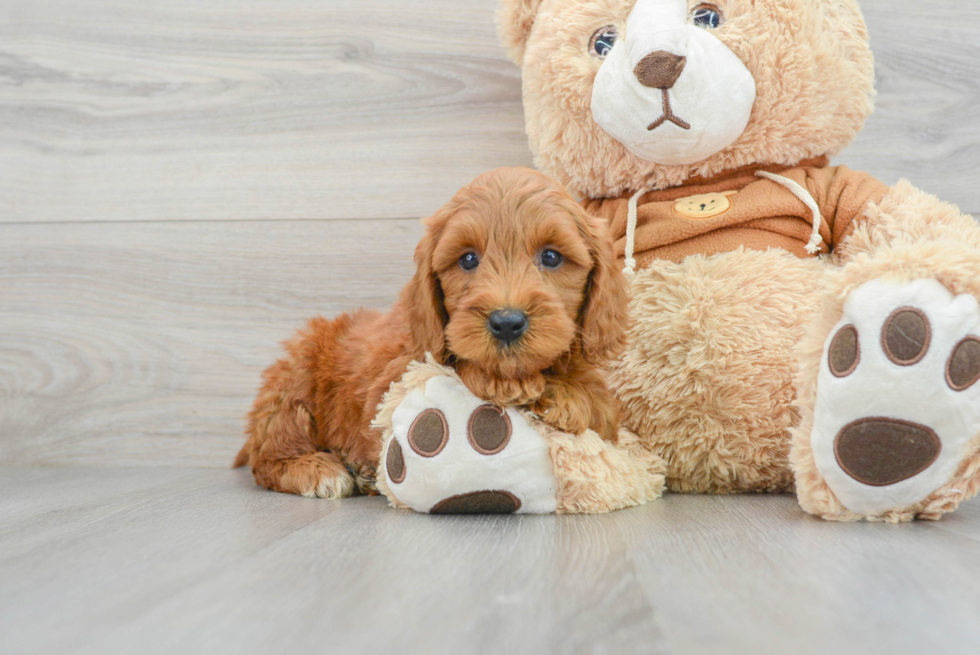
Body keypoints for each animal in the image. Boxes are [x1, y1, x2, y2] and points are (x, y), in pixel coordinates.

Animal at [233, 168, 628, 498]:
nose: (506, 323)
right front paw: (504, 382)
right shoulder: (391, 382)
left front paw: (571, 394)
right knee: (268, 454)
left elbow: (604, 406)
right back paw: (318, 470)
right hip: (295, 379)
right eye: (467, 259)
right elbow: (459, 366)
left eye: (551, 257)